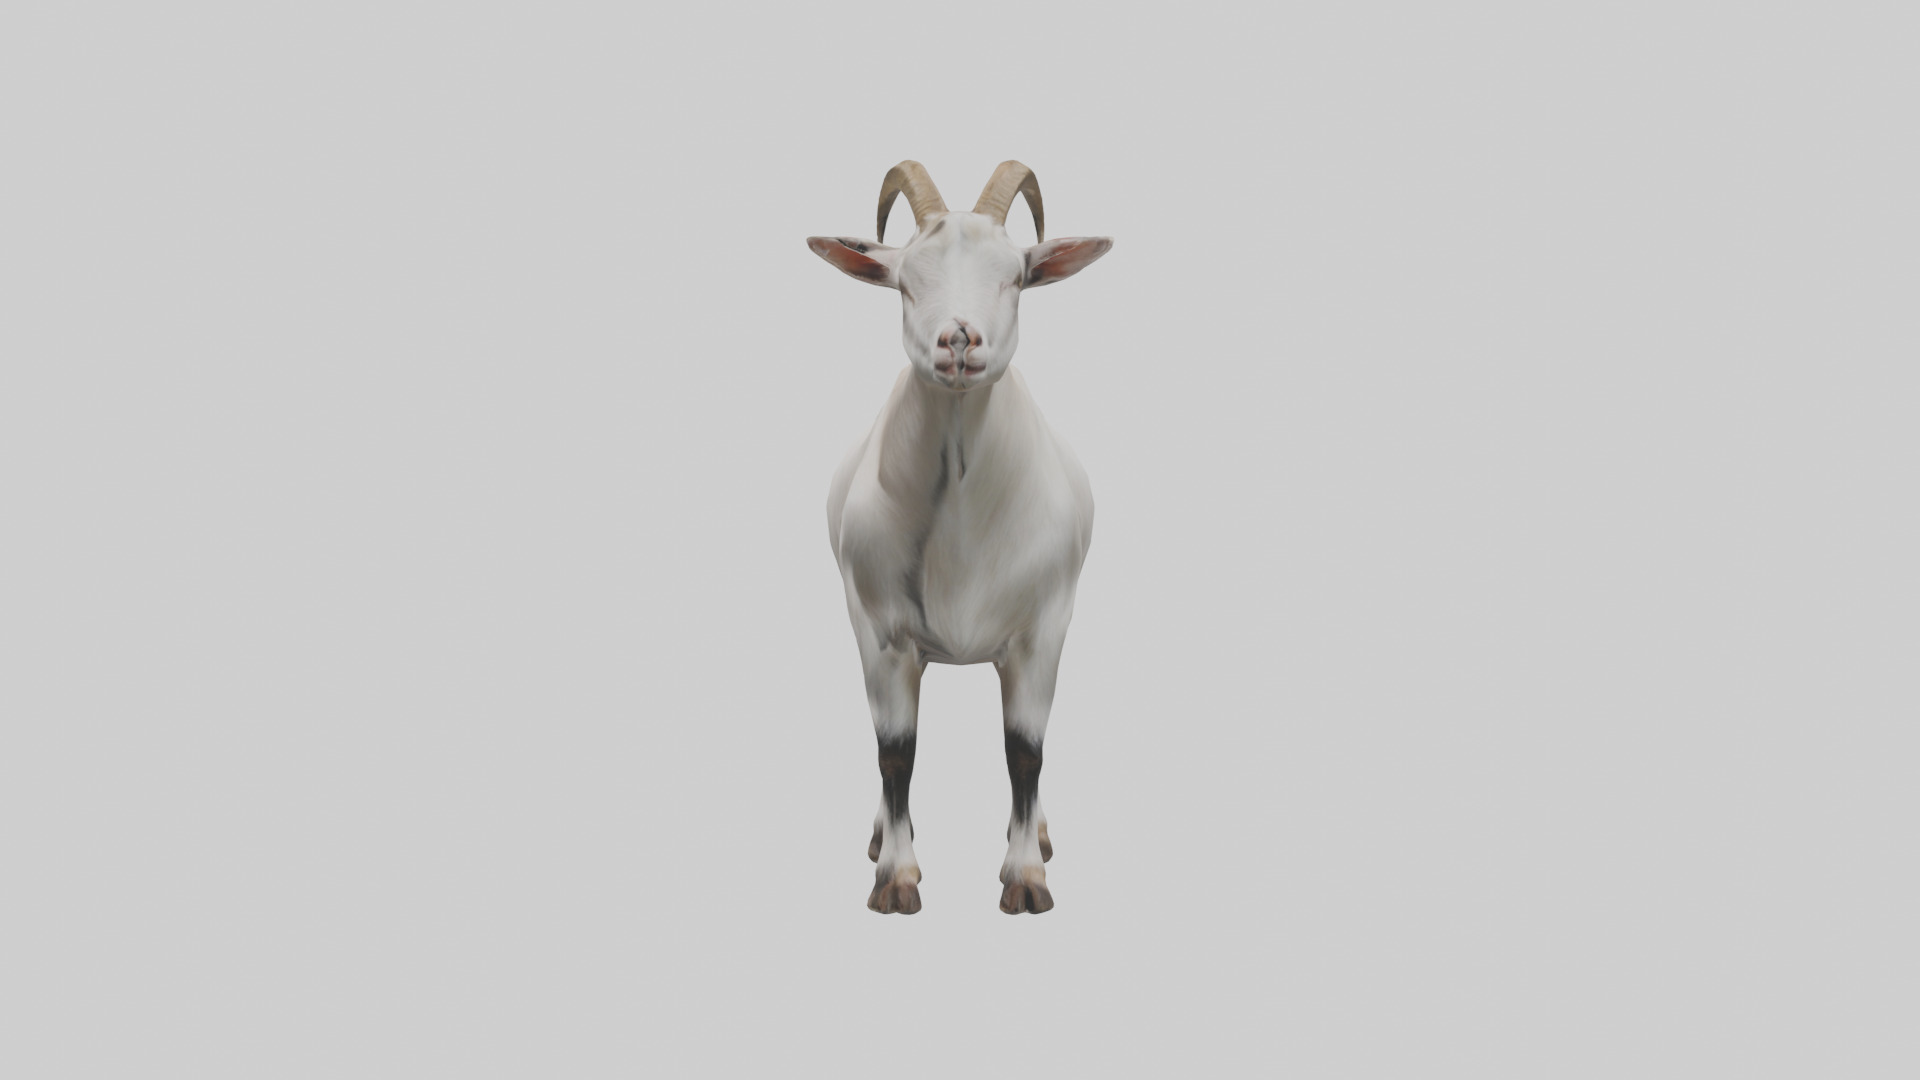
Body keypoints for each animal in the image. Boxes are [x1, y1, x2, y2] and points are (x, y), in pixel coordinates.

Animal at [808, 161, 1112, 914]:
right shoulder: (881, 632)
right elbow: (895, 751)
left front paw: (1027, 877)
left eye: (1016, 276)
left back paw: (1040, 836)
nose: (959, 341)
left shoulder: (1042, 630)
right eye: (906, 280)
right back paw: (880, 837)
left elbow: (1025, 750)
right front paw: (896, 878)